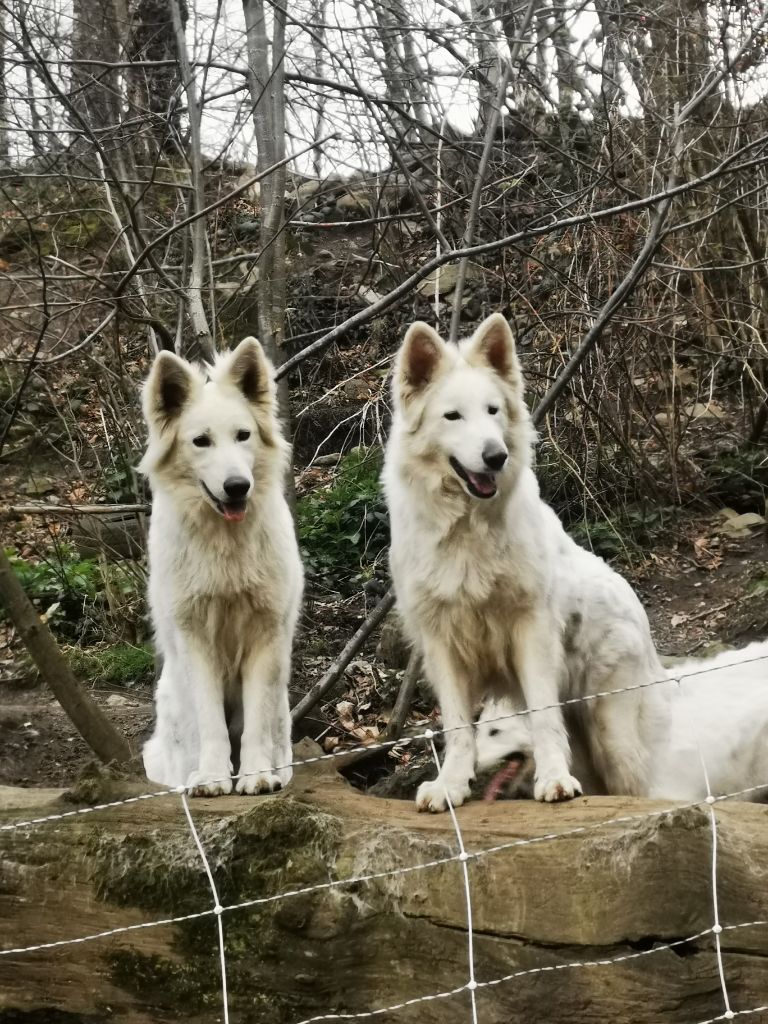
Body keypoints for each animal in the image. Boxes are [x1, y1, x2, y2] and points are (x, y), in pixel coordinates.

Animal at [141, 339, 303, 794]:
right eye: (201, 441)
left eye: (243, 435)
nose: (237, 487)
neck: (225, 546)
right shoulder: (195, 639)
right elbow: (210, 721)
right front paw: (213, 778)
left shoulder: (265, 637)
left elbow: (255, 726)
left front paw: (256, 776)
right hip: (173, 696)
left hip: (281, 693)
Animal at [382, 315, 667, 811]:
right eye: (453, 416)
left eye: (493, 411)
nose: (496, 456)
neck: (467, 528)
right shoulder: (441, 644)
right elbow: (458, 727)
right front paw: (451, 785)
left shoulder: (530, 631)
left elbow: (542, 714)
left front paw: (553, 780)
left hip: (614, 737)